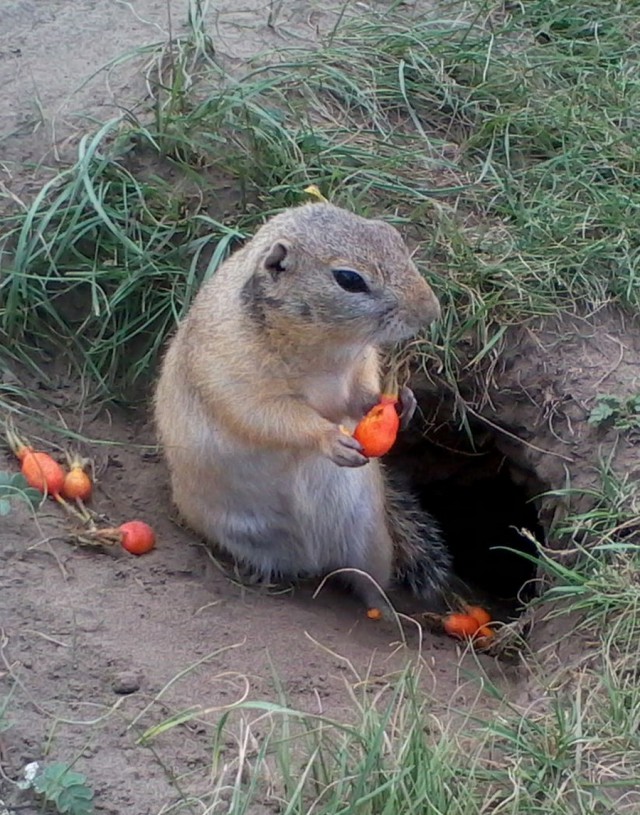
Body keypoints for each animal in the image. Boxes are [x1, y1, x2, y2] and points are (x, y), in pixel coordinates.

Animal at [154, 202, 452, 612]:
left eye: (394, 237)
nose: (431, 310)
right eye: (348, 279)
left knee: (370, 583)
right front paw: (330, 439)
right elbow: (274, 419)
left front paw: (400, 402)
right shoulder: (240, 380)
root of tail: (317, 558)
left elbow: (357, 398)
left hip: (372, 542)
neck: (327, 354)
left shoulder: (358, 368)